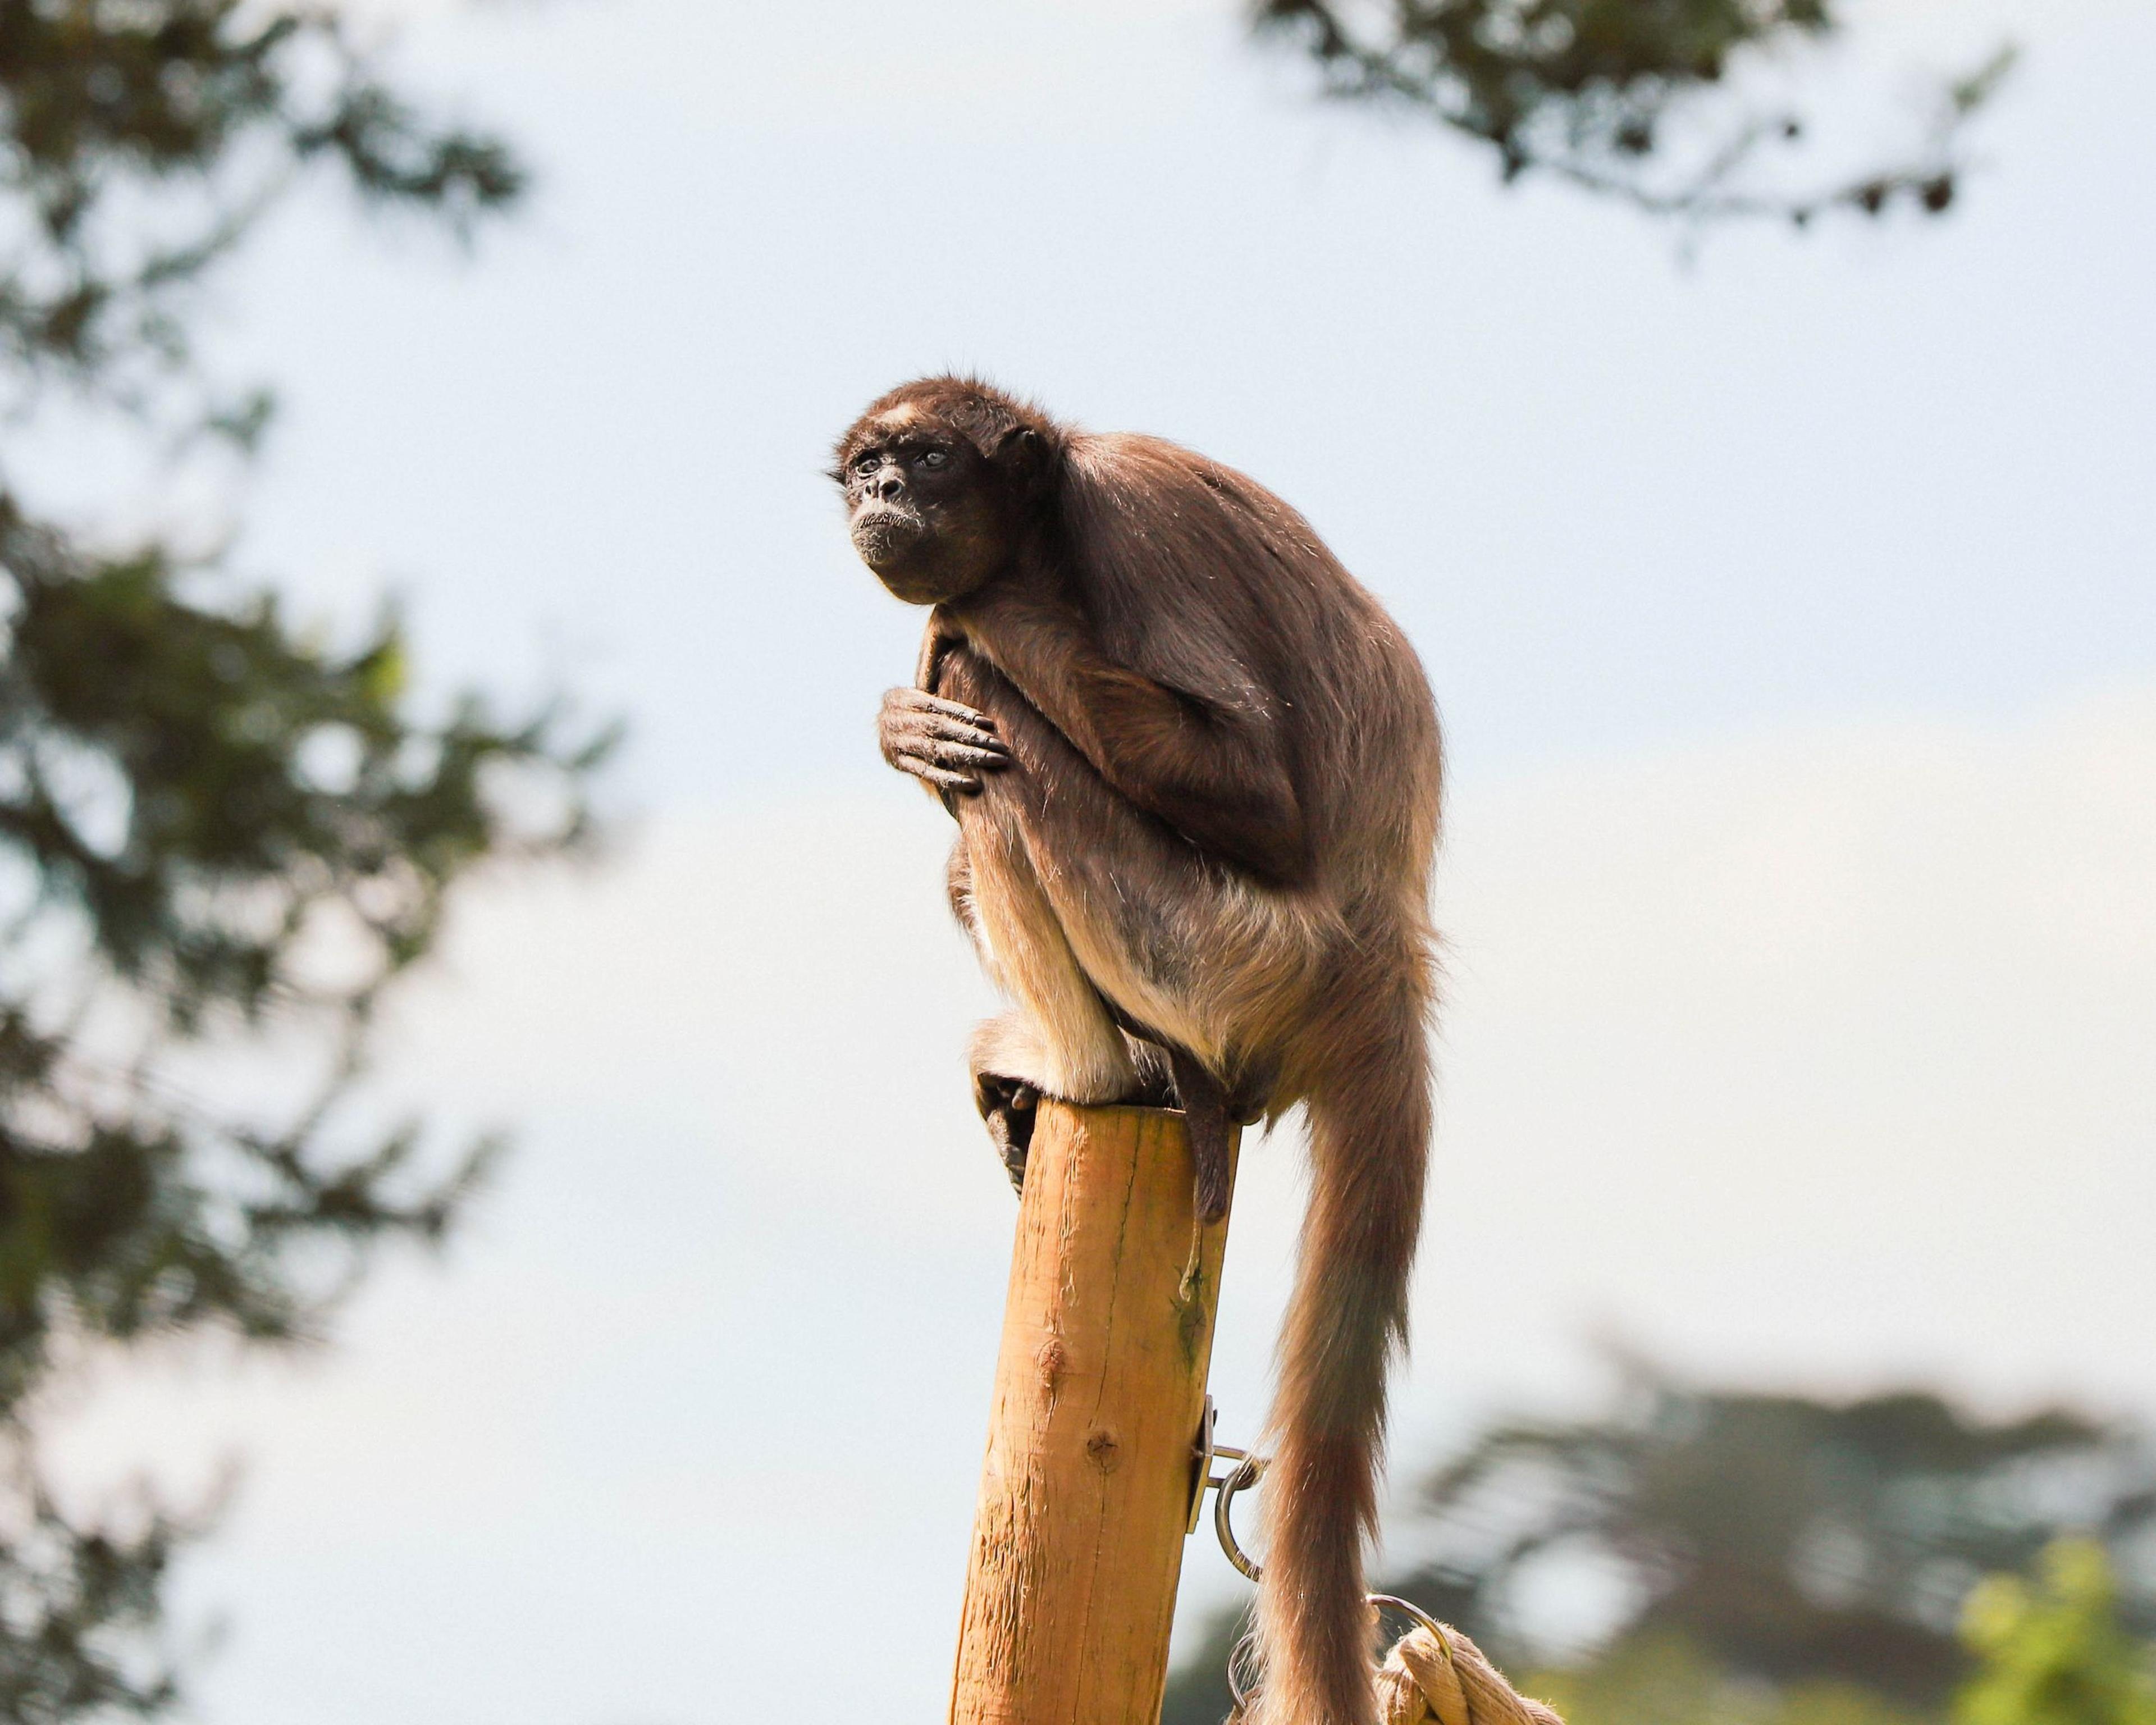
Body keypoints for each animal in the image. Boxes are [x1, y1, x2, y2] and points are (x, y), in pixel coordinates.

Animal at [835, 378, 1441, 1725]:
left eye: (926, 461)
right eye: (864, 469)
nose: (881, 495)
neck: (1053, 526)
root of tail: (1379, 966)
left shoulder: (1129, 516)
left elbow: (1260, 795)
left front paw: (966, 618)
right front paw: (900, 719)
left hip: (1224, 951)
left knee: (993, 706)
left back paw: (1097, 1073)